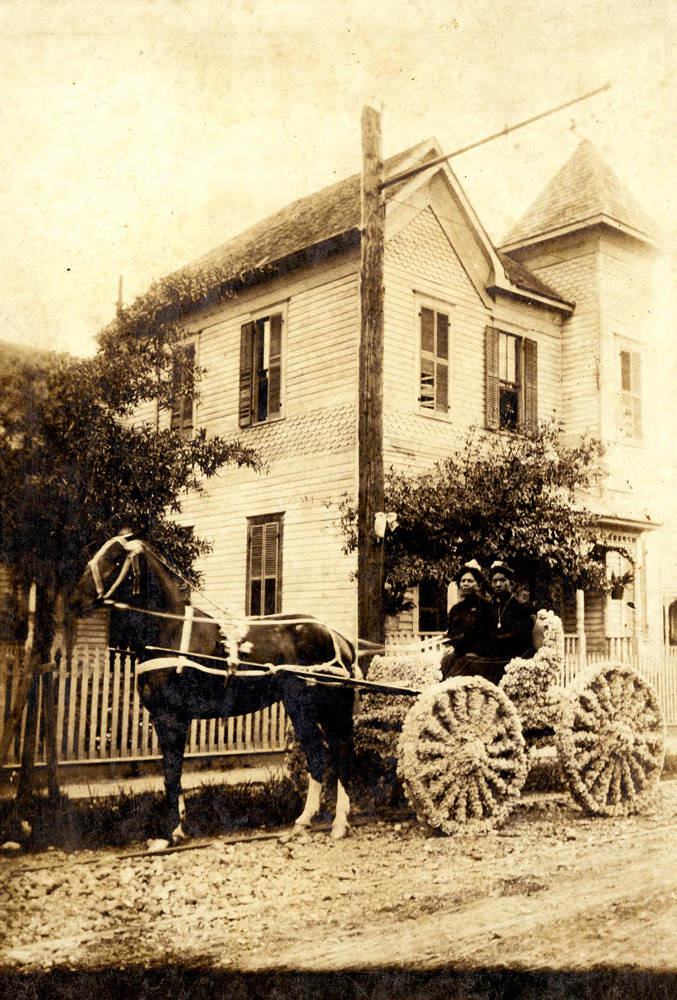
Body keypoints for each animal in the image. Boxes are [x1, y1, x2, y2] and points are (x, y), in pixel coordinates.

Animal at [72, 536, 360, 840]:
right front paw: (178, 825)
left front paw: (171, 831)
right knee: (324, 755)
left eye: (115, 559)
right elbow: (172, 770)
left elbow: (172, 773)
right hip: (309, 710)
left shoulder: (171, 717)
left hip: (314, 708)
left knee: (333, 755)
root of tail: (339, 639)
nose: (76, 599)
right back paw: (307, 820)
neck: (170, 632)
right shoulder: (163, 719)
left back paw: (336, 822)